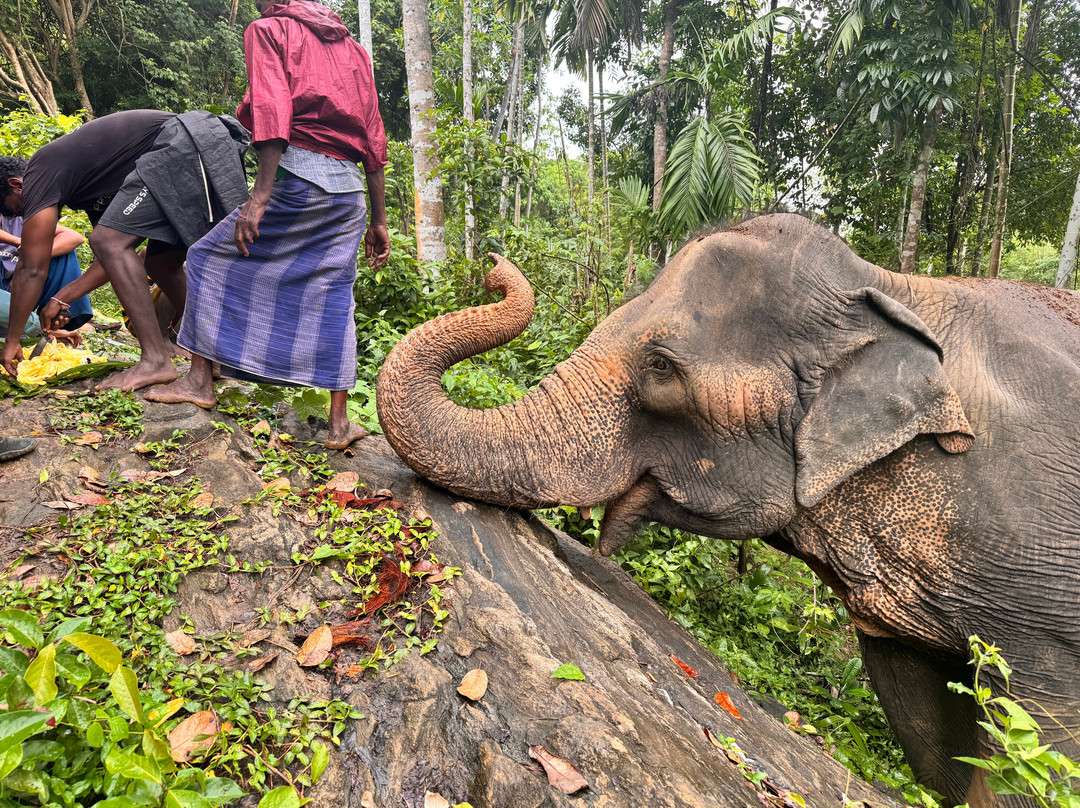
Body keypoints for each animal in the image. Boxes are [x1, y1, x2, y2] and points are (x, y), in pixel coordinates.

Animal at [376, 213, 1080, 807]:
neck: (890, 288)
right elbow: (934, 744)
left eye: (661, 368)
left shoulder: (1044, 599)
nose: (492, 263)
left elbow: (1034, 751)